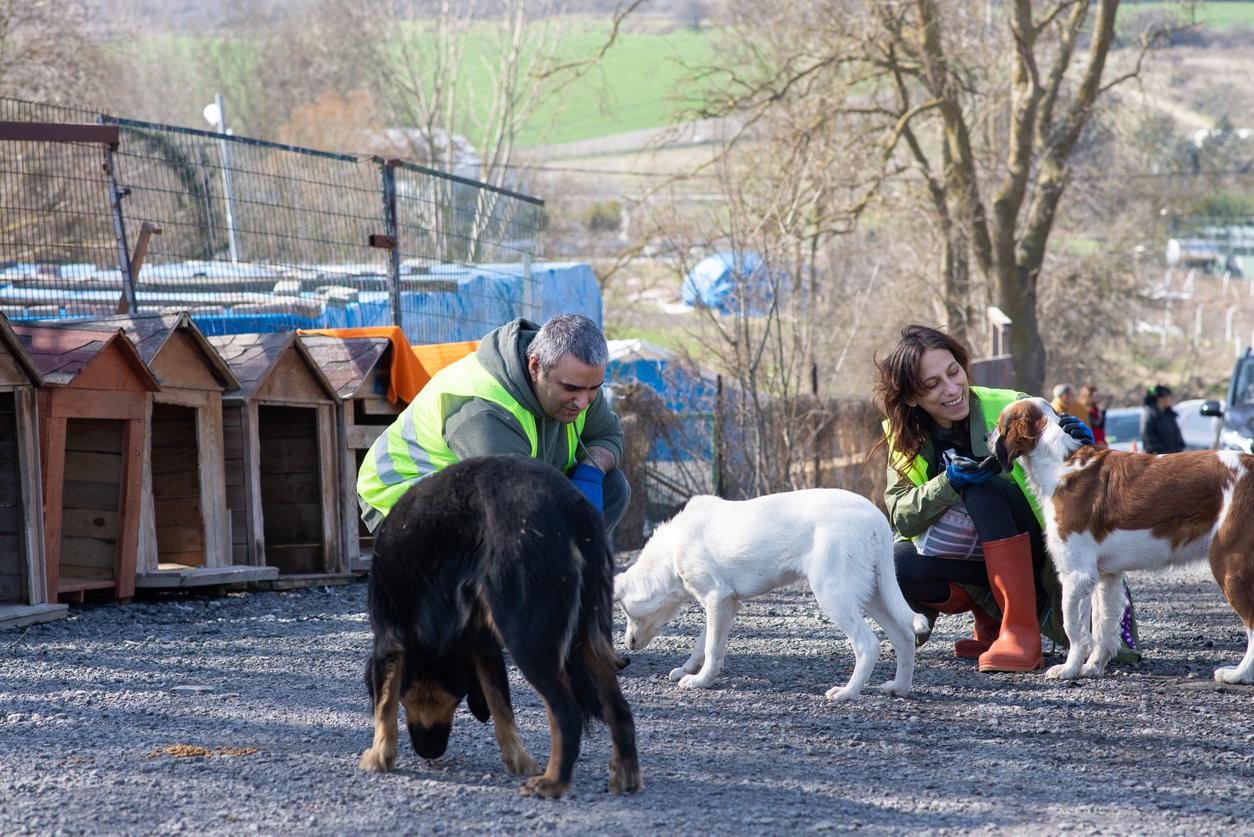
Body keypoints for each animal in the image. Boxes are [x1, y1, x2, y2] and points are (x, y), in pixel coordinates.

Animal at [358, 454, 642, 803]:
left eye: (451, 700)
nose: (430, 752)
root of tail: (572, 509)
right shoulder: (482, 644)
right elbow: (500, 705)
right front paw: (519, 759)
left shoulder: (389, 638)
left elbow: (383, 706)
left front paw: (378, 756)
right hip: (588, 638)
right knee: (619, 710)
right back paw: (626, 776)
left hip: (527, 637)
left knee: (567, 713)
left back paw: (553, 782)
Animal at [611, 491, 927, 702]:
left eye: (625, 611)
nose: (628, 645)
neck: (672, 551)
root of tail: (876, 519)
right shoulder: (726, 605)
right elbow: (704, 645)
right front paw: (688, 672)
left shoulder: (716, 599)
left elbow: (711, 649)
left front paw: (701, 681)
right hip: (875, 594)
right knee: (904, 637)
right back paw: (899, 688)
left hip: (833, 594)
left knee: (868, 644)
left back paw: (847, 692)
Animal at [993, 401, 1248, 687]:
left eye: (998, 424)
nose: (986, 437)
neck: (1062, 463)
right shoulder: (1107, 577)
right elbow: (1103, 626)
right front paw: (1093, 667)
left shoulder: (1076, 575)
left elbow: (1074, 629)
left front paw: (1069, 668)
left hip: (1230, 567)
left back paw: (1238, 674)